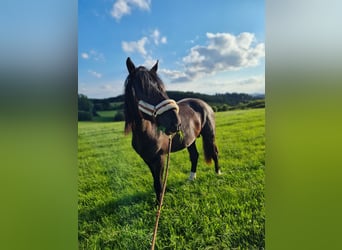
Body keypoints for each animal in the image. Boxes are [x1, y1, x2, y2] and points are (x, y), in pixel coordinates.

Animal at [124, 57, 220, 203]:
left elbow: (159, 183)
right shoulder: (149, 160)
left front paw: (159, 203)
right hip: (190, 140)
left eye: (161, 88)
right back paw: (191, 178)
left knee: (214, 152)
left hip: (209, 135)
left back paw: (218, 173)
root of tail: (204, 104)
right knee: (194, 156)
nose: (175, 123)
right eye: (143, 89)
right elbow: (156, 182)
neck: (146, 133)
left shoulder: (160, 158)